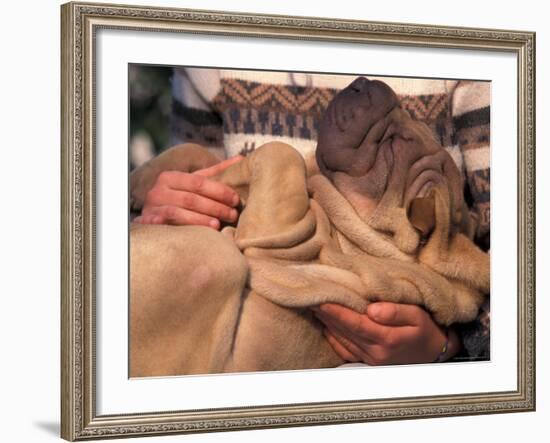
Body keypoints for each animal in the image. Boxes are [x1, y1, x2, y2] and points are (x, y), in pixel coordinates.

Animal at [130, 76, 492, 378]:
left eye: (391, 144)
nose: (367, 83)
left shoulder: (281, 242)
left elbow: (280, 152)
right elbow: (202, 152)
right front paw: (144, 183)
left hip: (218, 258)